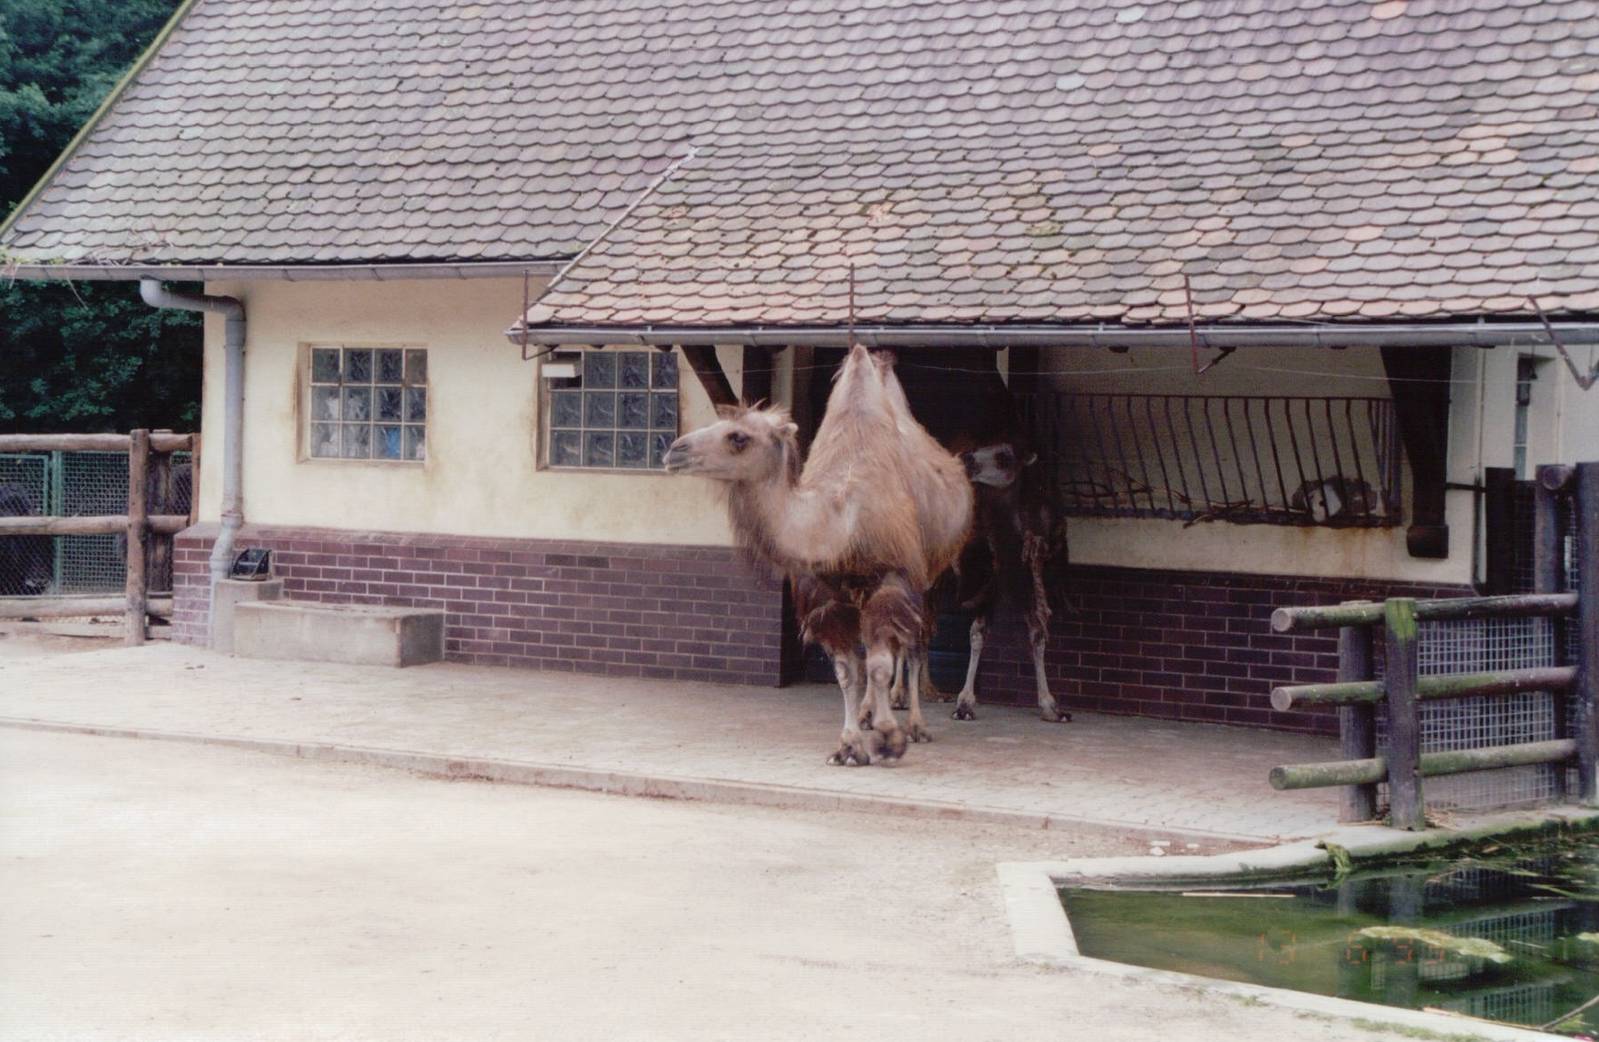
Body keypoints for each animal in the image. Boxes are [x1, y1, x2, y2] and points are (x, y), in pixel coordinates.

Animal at [662, 343, 973, 765]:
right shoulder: (826, 595)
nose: (674, 450)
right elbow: (847, 670)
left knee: (913, 645)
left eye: (738, 437)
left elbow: (880, 663)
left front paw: (890, 737)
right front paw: (849, 745)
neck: (840, 524)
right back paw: (868, 714)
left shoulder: (896, 576)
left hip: (931, 575)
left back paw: (916, 725)